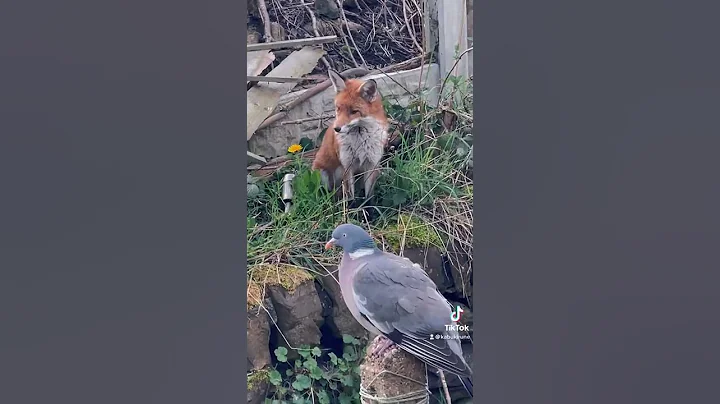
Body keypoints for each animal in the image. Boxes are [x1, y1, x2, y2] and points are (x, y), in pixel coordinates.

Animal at [311, 70, 389, 201]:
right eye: (338, 108)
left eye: (353, 111)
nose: (336, 129)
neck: (360, 141)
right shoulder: (347, 166)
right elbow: (350, 198)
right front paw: (352, 207)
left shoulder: (371, 164)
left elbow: (369, 197)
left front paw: (368, 207)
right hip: (322, 174)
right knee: (328, 193)